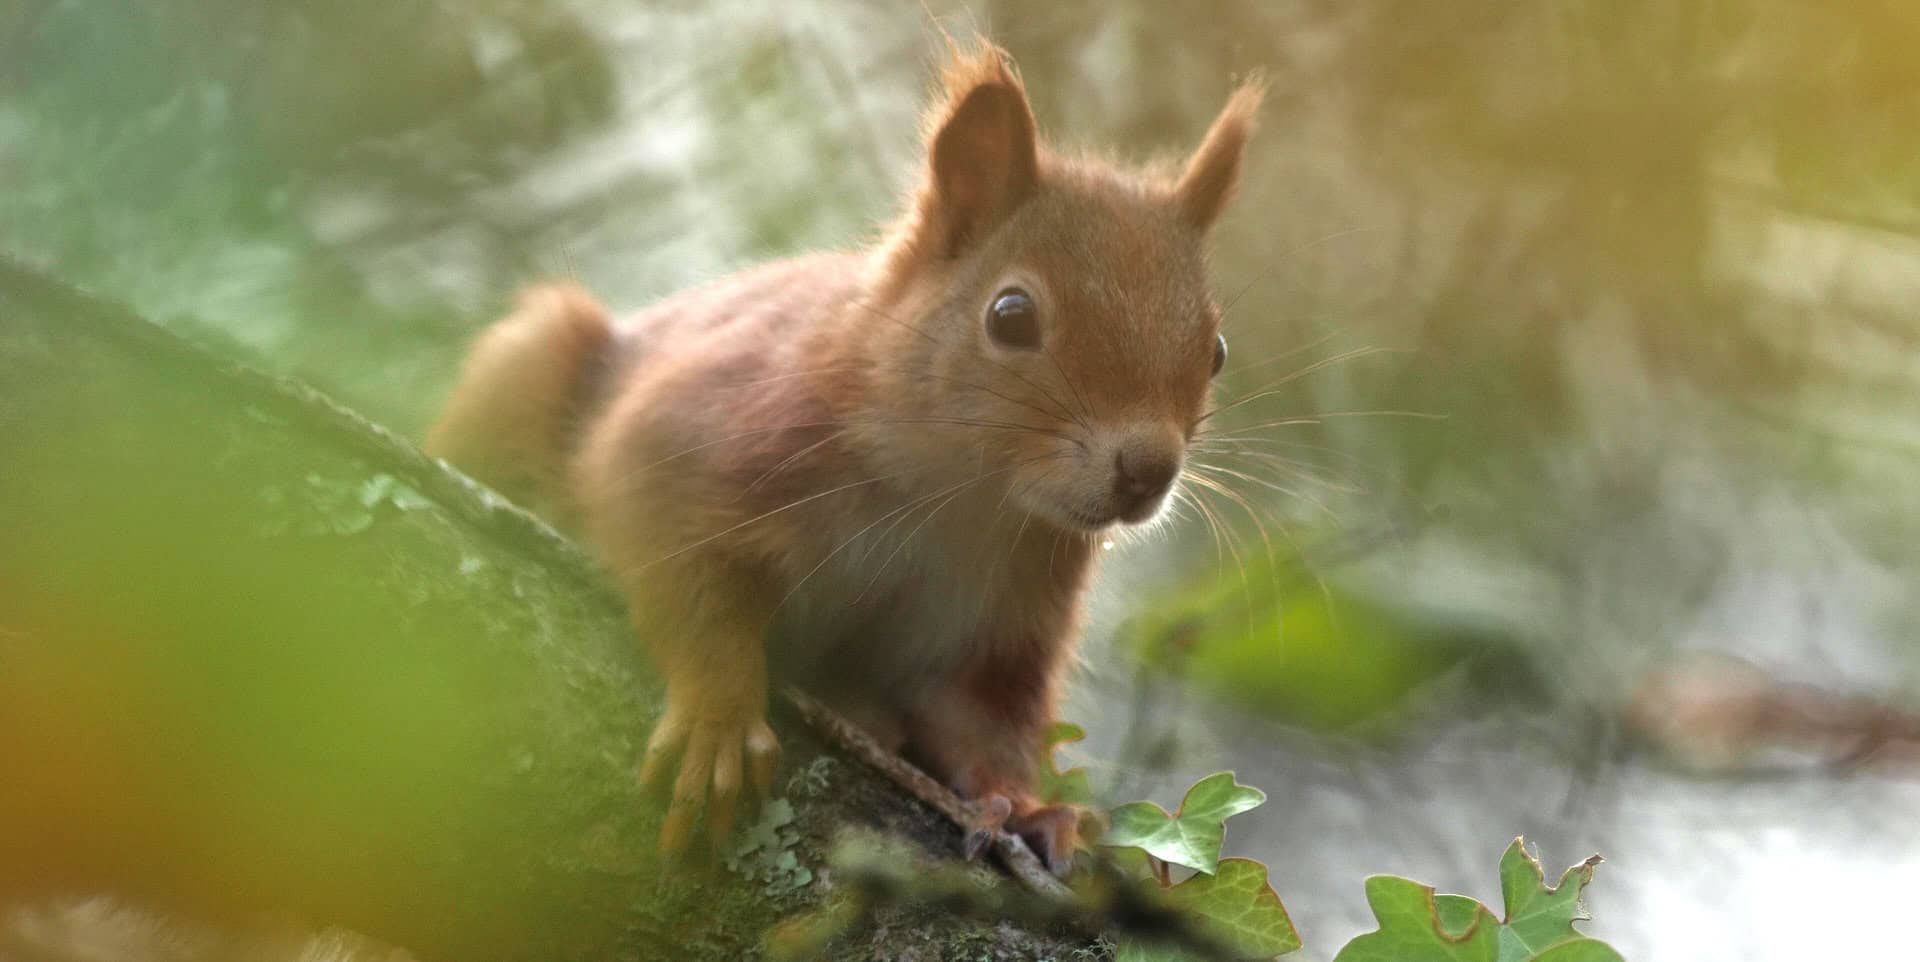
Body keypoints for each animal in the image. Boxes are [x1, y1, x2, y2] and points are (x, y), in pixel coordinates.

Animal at [426, 42, 1262, 875]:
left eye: (1218, 350)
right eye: (1011, 315)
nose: (1147, 470)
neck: (956, 493)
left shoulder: (1005, 615)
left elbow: (984, 725)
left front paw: (1028, 807)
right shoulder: (700, 437)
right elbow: (688, 580)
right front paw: (717, 717)